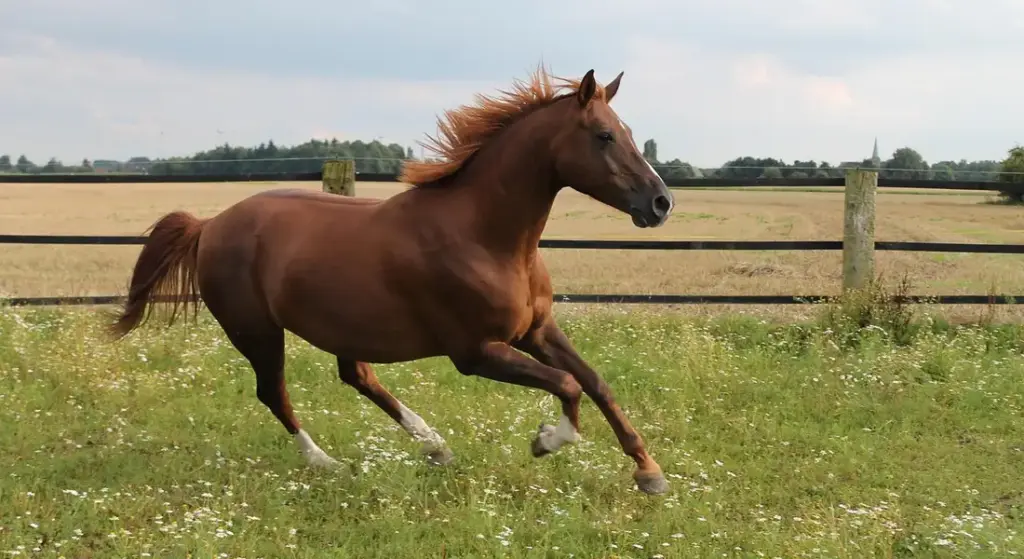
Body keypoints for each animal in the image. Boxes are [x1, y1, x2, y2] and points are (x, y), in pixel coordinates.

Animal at [109, 67, 676, 494]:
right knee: (275, 393)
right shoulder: (475, 352)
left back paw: (435, 446)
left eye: (628, 131)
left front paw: (649, 473)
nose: (661, 203)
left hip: (340, 325)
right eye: (604, 136)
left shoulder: (536, 330)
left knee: (357, 376)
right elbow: (567, 385)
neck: (484, 236)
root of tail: (210, 225)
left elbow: (594, 381)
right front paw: (545, 441)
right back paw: (327, 463)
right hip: (257, 332)